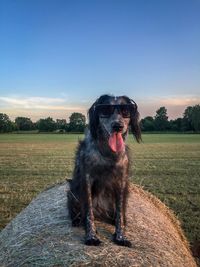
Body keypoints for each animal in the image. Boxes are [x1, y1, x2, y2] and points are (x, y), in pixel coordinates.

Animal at [68, 95, 141, 248]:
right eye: (106, 110)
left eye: (125, 111)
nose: (118, 126)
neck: (108, 153)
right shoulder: (87, 179)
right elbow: (88, 213)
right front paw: (91, 236)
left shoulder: (121, 181)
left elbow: (120, 214)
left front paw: (120, 237)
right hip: (72, 194)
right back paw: (77, 221)